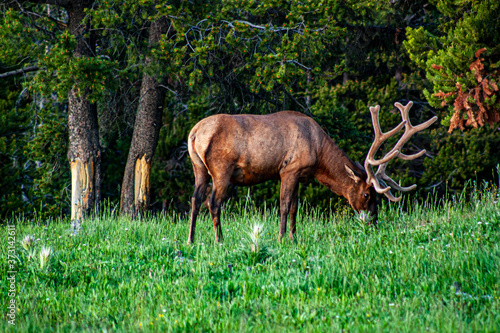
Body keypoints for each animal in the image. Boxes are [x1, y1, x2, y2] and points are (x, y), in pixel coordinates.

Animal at [186, 100, 436, 243]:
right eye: (367, 194)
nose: (374, 221)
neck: (318, 154)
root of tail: (194, 133)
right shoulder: (290, 168)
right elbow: (285, 205)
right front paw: (281, 238)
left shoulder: (299, 175)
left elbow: (295, 207)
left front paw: (294, 237)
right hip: (222, 170)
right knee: (213, 202)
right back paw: (220, 240)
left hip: (198, 168)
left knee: (195, 199)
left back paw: (191, 240)